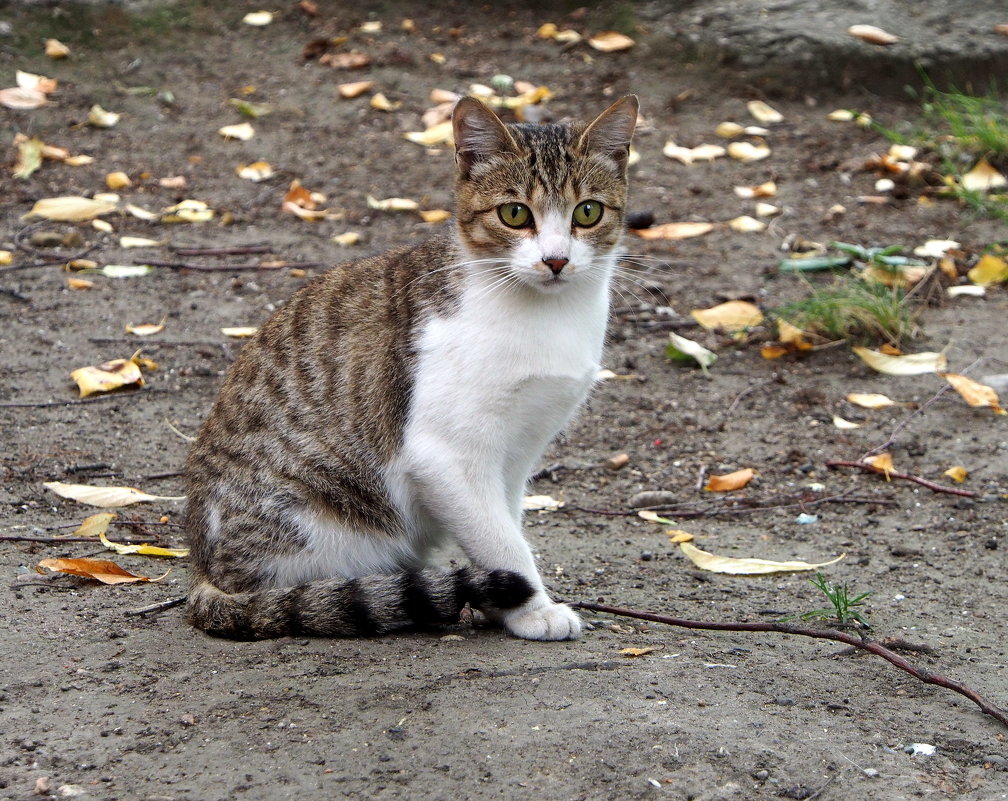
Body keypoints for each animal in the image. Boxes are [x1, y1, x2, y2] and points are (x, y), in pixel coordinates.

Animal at [186, 95, 641, 640]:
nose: (556, 260)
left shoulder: (519, 451)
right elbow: (501, 541)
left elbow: (504, 523)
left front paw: (503, 605)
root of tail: (204, 569)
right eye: (514, 214)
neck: (544, 317)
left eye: (587, 212)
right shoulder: (444, 455)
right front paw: (531, 607)